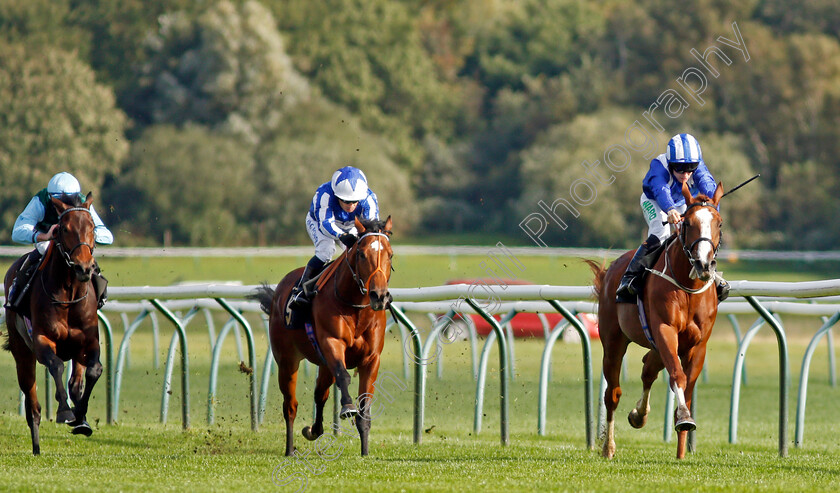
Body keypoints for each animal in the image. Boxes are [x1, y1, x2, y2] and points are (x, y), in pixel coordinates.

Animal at [3, 192, 103, 454]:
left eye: (92, 227)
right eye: (64, 229)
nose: (83, 267)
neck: (69, 295)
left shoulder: (90, 341)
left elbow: (94, 371)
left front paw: (81, 418)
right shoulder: (41, 340)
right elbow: (56, 366)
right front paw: (65, 411)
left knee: (76, 381)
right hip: (22, 353)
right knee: (33, 406)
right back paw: (37, 446)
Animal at [249, 215, 394, 454]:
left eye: (390, 255)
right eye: (362, 254)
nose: (379, 296)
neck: (355, 307)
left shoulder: (371, 358)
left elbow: (364, 407)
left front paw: (365, 452)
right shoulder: (332, 343)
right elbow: (344, 376)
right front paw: (347, 407)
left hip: (323, 364)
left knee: (320, 393)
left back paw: (314, 430)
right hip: (287, 360)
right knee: (290, 405)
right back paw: (289, 450)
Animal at [592, 181, 720, 458]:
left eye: (718, 223)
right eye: (687, 223)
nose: (704, 264)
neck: (688, 285)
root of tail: (610, 271)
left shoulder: (698, 344)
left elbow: (687, 386)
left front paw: (682, 448)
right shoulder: (665, 330)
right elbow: (677, 376)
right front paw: (684, 418)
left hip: (659, 345)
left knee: (648, 369)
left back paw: (638, 415)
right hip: (614, 341)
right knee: (613, 393)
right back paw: (608, 447)